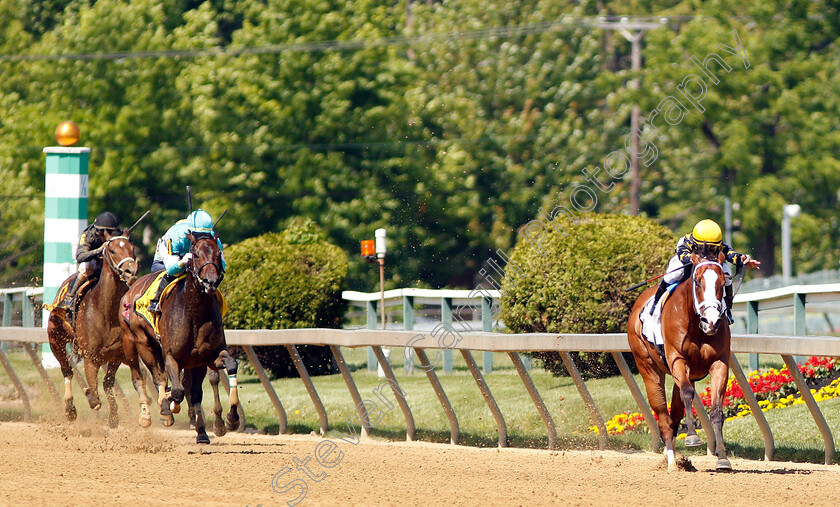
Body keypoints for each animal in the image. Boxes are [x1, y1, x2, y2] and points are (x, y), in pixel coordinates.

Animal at [46, 234, 139, 428]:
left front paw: (113, 416)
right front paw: (88, 394)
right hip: (55, 339)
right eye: (112, 250)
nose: (130, 271)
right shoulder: (91, 358)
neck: (107, 312)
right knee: (67, 370)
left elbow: (107, 383)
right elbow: (95, 399)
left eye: (132, 248)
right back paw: (70, 409)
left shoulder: (117, 354)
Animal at [118, 232, 238, 442]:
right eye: (196, 255)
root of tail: (132, 288)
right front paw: (169, 404)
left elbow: (229, 366)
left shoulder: (208, 356)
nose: (210, 282)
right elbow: (176, 390)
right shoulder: (171, 356)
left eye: (218, 253)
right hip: (137, 342)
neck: (195, 312)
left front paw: (230, 419)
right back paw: (153, 413)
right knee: (148, 376)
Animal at [628, 253, 732, 472]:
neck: (697, 327)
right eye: (697, 281)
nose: (712, 321)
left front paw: (722, 458)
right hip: (647, 366)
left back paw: (676, 458)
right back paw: (671, 463)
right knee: (663, 416)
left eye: (722, 282)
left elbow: (716, 409)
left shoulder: (719, 363)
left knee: (674, 416)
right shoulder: (677, 359)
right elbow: (686, 394)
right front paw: (692, 437)